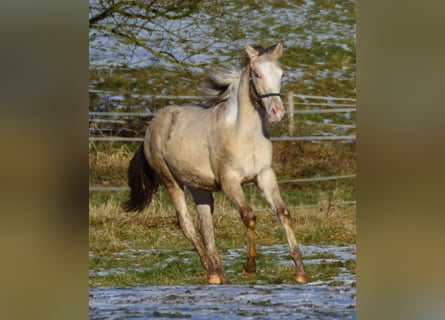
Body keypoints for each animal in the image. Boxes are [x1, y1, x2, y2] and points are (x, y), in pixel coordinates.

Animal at [123, 43, 306, 284]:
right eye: (257, 74)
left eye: (281, 74)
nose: (277, 112)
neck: (244, 134)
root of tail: (152, 125)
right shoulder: (229, 181)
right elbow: (249, 216)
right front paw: (249, 267)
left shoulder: (265, 176)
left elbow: (283, 214)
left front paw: (300, 272)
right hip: (170, 181)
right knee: (187, 225)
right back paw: (211, 271)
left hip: (199, 187)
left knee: (206, 227)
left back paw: (220, 276)